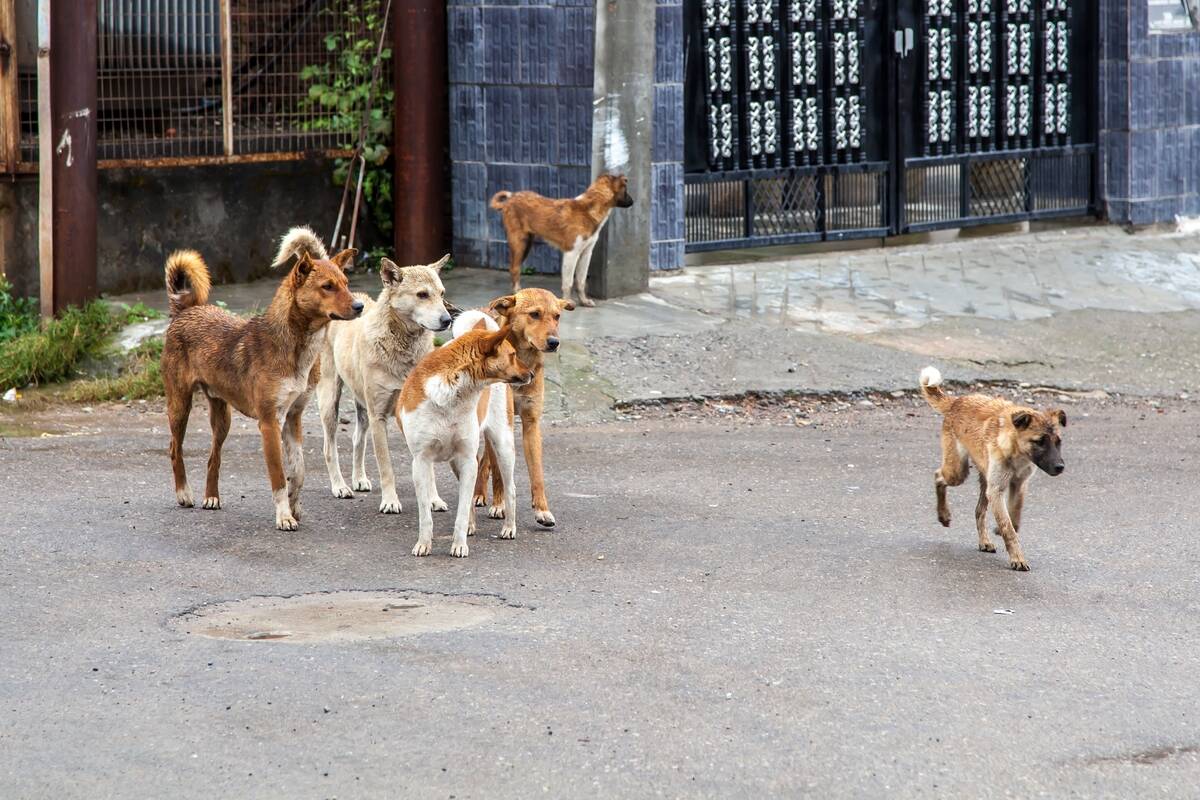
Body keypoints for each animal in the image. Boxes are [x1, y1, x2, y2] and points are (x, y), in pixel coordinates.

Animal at [162, 230, 362, 532]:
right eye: (327, 287)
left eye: (347, 284)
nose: (360, 306)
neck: (295, 346)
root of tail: (186, 310)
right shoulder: (269, 423)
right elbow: (278, 477)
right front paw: (284, 516)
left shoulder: (293, 417)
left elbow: (299, 470)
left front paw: (294, 506)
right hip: (180, 405)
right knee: (175, 449)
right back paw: (184, 493)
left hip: (222, 418)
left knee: (213, 457)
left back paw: (211, 497)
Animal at [396, 314, 532, 556]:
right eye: (513, 355)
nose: (532, 375)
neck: (451, 393)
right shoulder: (421, 462)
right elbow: (426, 514)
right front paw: (424, 543)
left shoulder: (468, 460)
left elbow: (461, 511)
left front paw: (459, 545)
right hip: (457, 462)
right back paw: (472, 526)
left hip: (503, 447)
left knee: (510, 489)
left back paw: (509, 527)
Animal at [489, 173, 633, 309]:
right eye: (625, 189)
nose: (633, 202)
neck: (588, 209)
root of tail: (510, 199)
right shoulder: (571, 253)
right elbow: (568, 282)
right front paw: (568, 301)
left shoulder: (586, 253)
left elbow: (581, 281)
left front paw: (584, 301)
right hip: (519, 242)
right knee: (514, 268)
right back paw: (516, 292)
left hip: (527, 243)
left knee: (515, 266)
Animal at [916, 367, 1070, 573]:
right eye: (1039, 442)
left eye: (1058, 441)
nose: (1060, 467)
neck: (1016, 450)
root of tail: (957, 401)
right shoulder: (997, 490)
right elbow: (1008, 528)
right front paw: (1017, 558)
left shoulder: (1018, 485)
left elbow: (1014, 517)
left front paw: (1004, 529)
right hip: (958, 471)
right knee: (939, 476)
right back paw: (943, 514)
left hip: (985, 481)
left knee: (979, 511)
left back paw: (984, 541)